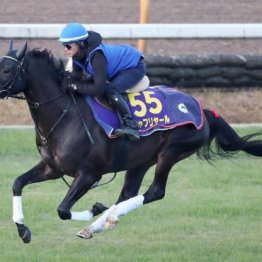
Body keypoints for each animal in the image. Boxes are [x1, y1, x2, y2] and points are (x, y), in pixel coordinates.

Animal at [0, 41, 262, 244]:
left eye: (7, 69)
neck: (64, 115)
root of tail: (202, 109)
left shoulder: (89, 174)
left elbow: (63, 210)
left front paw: (95, 209)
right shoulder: (52, 168)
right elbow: (17, 183)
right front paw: (22, 229)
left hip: (170, 152)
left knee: (155, 192)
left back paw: (105, 217)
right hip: (140, 162)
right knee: (127, 194)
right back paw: (101, 222)